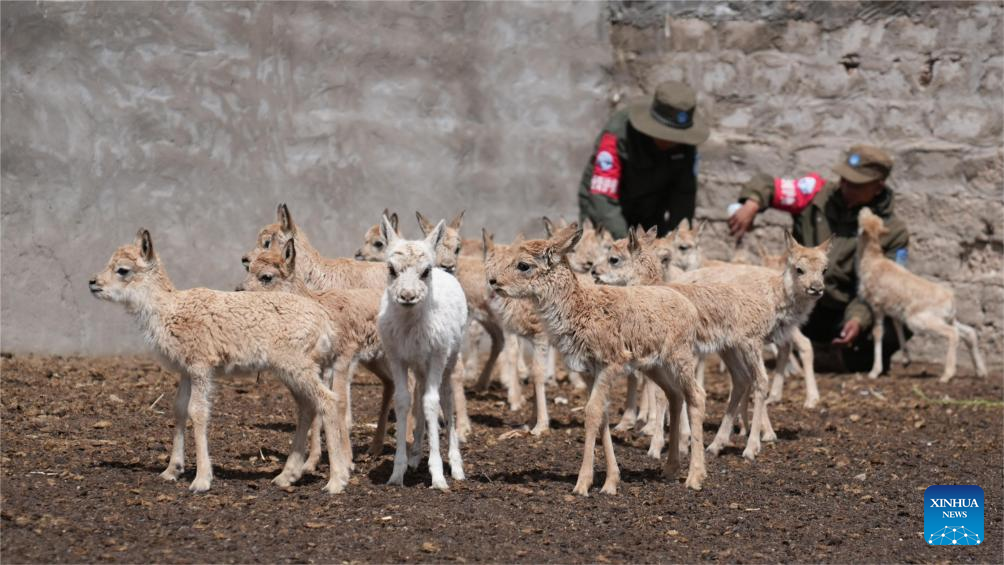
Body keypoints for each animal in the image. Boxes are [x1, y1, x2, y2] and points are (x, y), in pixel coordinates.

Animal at [91, 229, 349, 495]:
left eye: (122, 270)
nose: (93, 283)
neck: (169, 311)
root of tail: (326, 323)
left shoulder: (201, 366)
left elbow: (198, 411)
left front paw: (201, 480)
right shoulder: (185, 370)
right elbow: (179, 408)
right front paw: (172, 471)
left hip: (297, 365)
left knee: (328, 401)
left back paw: (336, 481)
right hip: (291, 370)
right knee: (307, 406)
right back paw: (286, 476)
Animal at [238, 240, 395, 475]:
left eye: (266, 276)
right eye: (248, 268)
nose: (239, 291)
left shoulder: (343, 359)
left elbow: (341, 404)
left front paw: (347, 461)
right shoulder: (319, 366)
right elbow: (318, 407)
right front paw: (310, 463)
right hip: (375, 358)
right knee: (391, 383)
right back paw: (375, 448)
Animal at [377, 216, 467, 491]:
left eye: (425, 271)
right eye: (391, 269)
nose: (407, 296)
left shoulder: (437, 355)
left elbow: (431, 403)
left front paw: (438, 477)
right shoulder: (395, 356)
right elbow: (403, 401)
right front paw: (397, 473)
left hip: (451, 357)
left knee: (446, 398)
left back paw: (457, 467)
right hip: (418, 365)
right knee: (418, 394)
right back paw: (415, 455)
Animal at [483, 223, 706, 493]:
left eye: (523, 265)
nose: (494, 281)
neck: (581, 310)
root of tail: (691, 309)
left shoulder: (610, 364)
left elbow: (591, 413)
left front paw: (582, 484)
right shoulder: (589, 370)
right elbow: (602, 416)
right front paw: (611, 481)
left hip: (680, 357)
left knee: (696, 395)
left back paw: (695, 477)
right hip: (655, 365)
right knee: (675, 396)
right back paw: (671, 469)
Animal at [855, 208, 987, 385]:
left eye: (864, 219)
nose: (864, 209)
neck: (872, 261)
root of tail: (950, 300)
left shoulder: (877, 307)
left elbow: (877, 333)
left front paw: (874, 372)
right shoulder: (893, 311)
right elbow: (897, 327)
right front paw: (906, 360)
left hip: (919, 320)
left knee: (953, 334)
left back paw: (947, 375)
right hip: (945, 318)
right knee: (969, 333)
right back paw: (981, 372)